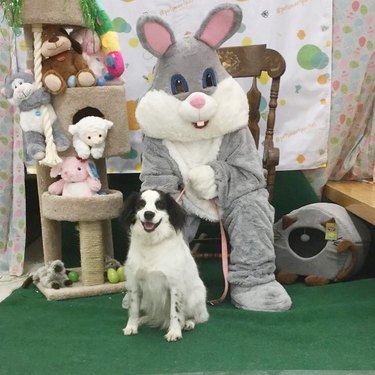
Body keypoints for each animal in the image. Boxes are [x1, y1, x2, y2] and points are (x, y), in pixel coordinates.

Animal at [121, 191, 209, 340]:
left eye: (160, 204)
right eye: (141, 204)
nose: (148, 214)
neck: (152, 243)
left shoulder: (175, 285)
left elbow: (175, 312)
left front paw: (174, 332)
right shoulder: (134, 283)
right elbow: (133, 309)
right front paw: (131, 326)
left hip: (194, 299)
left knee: (198, 317)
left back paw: (188, 323)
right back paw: (144, 319)